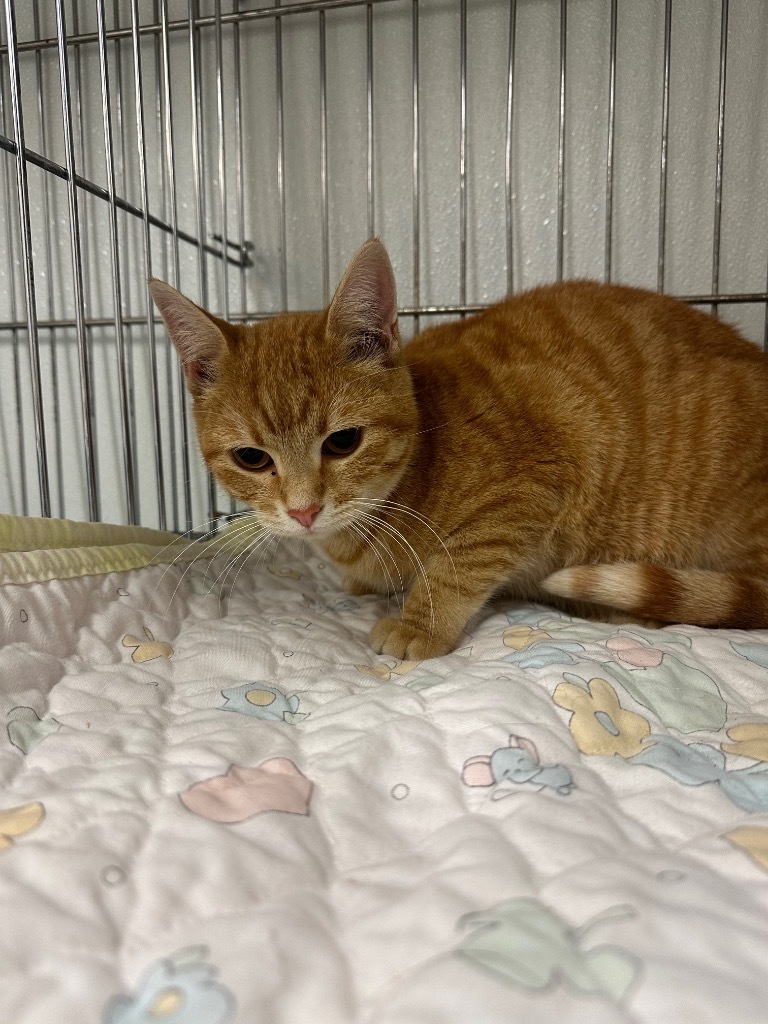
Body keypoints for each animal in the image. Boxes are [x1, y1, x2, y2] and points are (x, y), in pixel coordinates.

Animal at [147, 235, 768, 659]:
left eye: (343, 441)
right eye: (252, 458)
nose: (303, 512)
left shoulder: (532, 484)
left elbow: (457, 561)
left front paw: (418, 624)